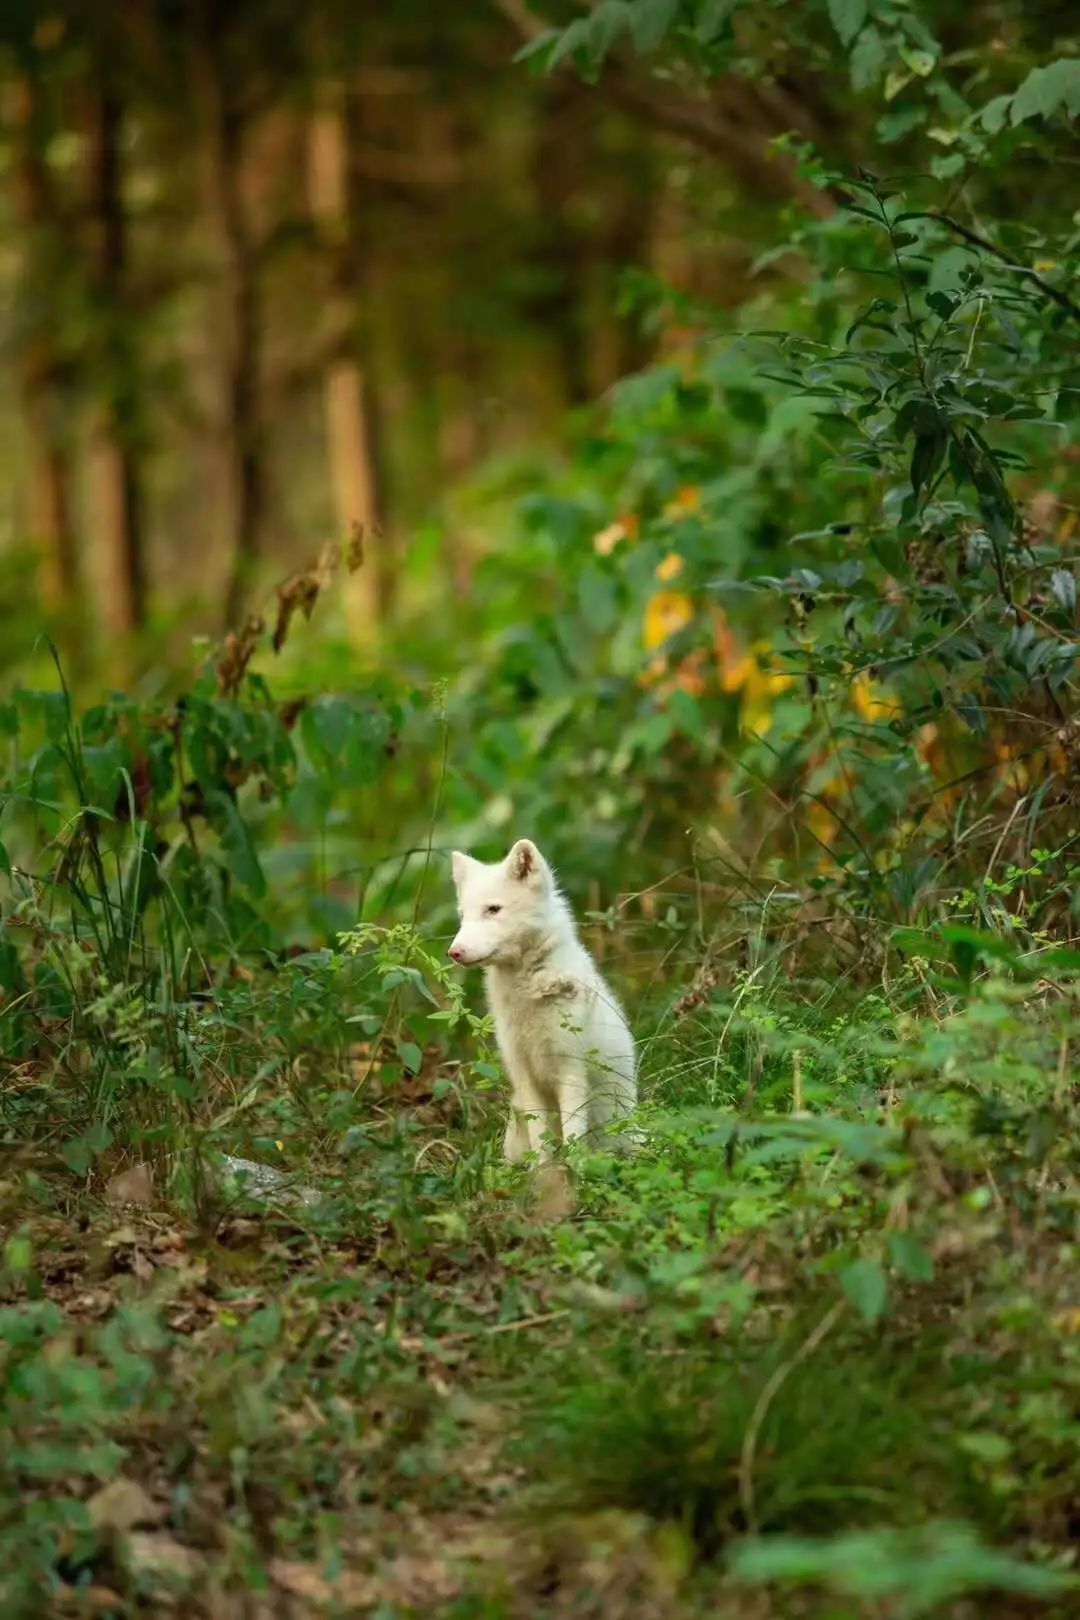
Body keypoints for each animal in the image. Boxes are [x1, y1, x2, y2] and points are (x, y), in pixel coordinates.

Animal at [446, 842, 634, 1159]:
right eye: (462, 915)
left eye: (493, 909)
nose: (454, 952)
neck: (528, 990)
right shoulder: (525, 1078)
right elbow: (541, 1143)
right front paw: (545, 1171)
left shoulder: (571, 1074)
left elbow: (573, 1138)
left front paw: (573, 1169)